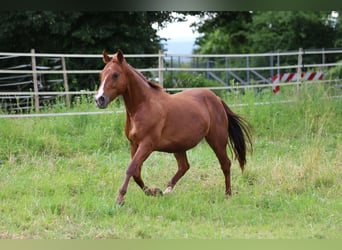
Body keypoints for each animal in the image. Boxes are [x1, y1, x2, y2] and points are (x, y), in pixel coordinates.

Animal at [95, 49, 252, 204]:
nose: (99, 99)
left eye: (115, 75)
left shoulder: (147, 144)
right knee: (184, 166)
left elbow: (131, 168)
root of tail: (217, 99)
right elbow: (136, 173)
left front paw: (120, 199)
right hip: (179, 145)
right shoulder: (134, 144)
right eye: (101, 75)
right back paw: (166, 190)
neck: (142, 106)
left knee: (225, 164)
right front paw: (154, 192)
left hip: (217, 140)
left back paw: (228, 194)